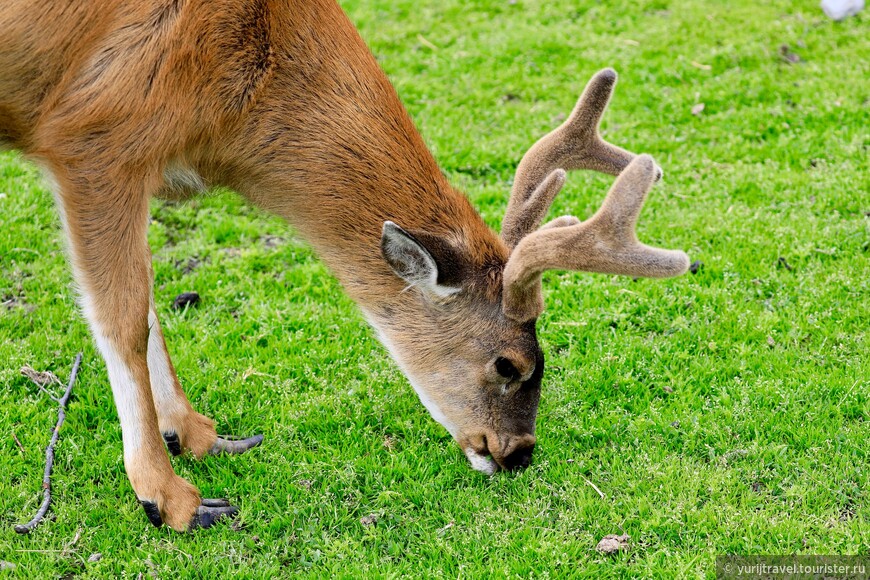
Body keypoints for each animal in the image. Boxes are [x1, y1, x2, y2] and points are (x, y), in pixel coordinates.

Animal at [3, 0, 692, 532]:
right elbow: (122, 316)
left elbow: (146, 306)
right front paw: (173, 501)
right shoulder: (92, 140)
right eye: (509, 364)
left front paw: (199, 434)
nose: (518, 452)